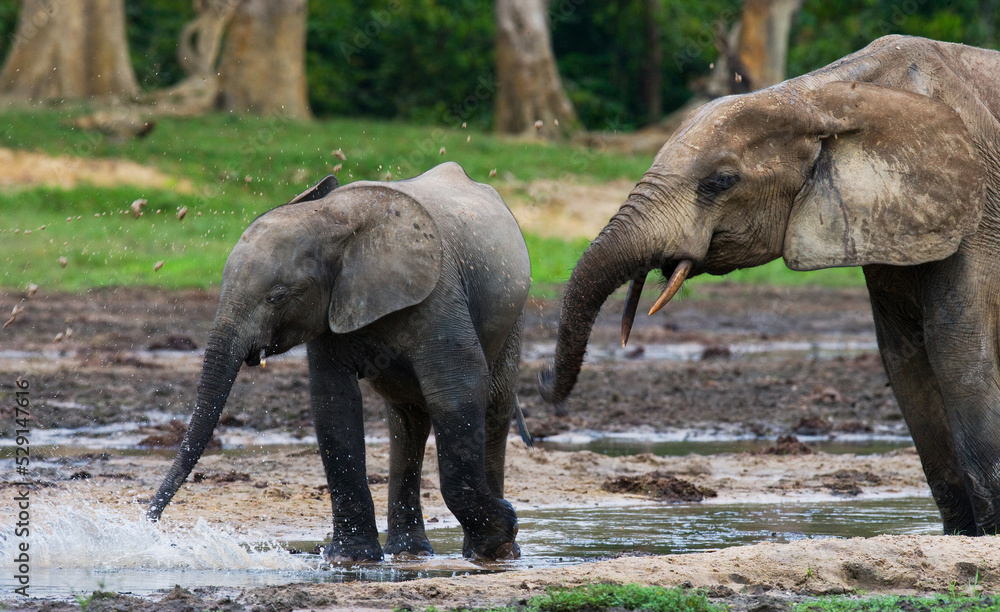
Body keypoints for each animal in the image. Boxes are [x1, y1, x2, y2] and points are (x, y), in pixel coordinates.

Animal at [147, 162, 532, 562]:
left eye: (276, 296)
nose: (151, 523)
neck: (331, 220)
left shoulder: (438, 293)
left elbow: (456, 389)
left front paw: (502, 530)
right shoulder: (329, 307)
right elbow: (334, 403)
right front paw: (351, 557)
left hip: (512, 315)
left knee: (493, 403)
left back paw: (496, 553)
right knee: (408, 417)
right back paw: (410, 552)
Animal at [540, 35, 1000, 536]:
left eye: (721, 181)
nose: (542, 382)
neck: (825, 95)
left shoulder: (980, 213)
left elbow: (954, 347)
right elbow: (905, 356)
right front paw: (962, 536)